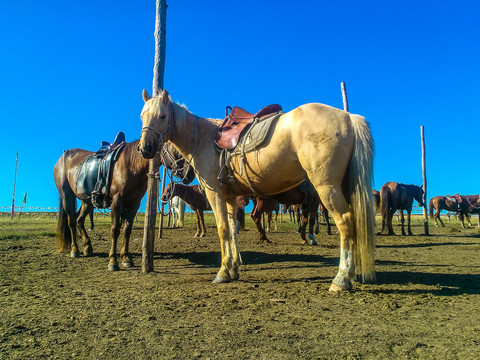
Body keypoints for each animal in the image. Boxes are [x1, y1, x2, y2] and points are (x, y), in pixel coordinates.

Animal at [53, 141, 194, 270]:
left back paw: (87, 247)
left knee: (79, 220)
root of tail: (63, 156)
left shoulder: (134, 204)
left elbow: (127, 230)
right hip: (66, 196)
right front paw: (113, 261)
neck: (132, 164)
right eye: (176, 149)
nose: (191, 173)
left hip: (87, 202)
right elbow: (115, 230)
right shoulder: (117, 202)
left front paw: (126, 258)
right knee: (71, 221)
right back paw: (75, 250)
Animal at [137, 88, 376, 292]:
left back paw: (341, 279)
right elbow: (232, 230)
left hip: (326, 187)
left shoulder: (215, 194)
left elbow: (222, 229)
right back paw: (351, 275)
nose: (145, 148)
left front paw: (222, 272)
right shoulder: (231, 197)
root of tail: (349, 117)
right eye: (142, 116)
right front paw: (233, 269)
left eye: (162, 116)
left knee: (345, 222)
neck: (203, 138)